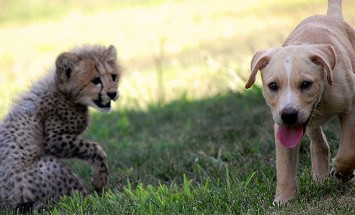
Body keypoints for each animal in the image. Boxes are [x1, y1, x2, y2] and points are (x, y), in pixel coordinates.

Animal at [245, 0, 355, 204]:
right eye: (273, 86)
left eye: (306, 84)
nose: (288, 115)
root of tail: (332, 16)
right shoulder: (281, 125)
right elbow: (284, 164)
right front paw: (283, 198)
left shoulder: (351, 108)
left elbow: (348, 149)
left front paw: (342, 171)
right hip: (309, 123)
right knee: (318, 143)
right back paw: (320, 178)